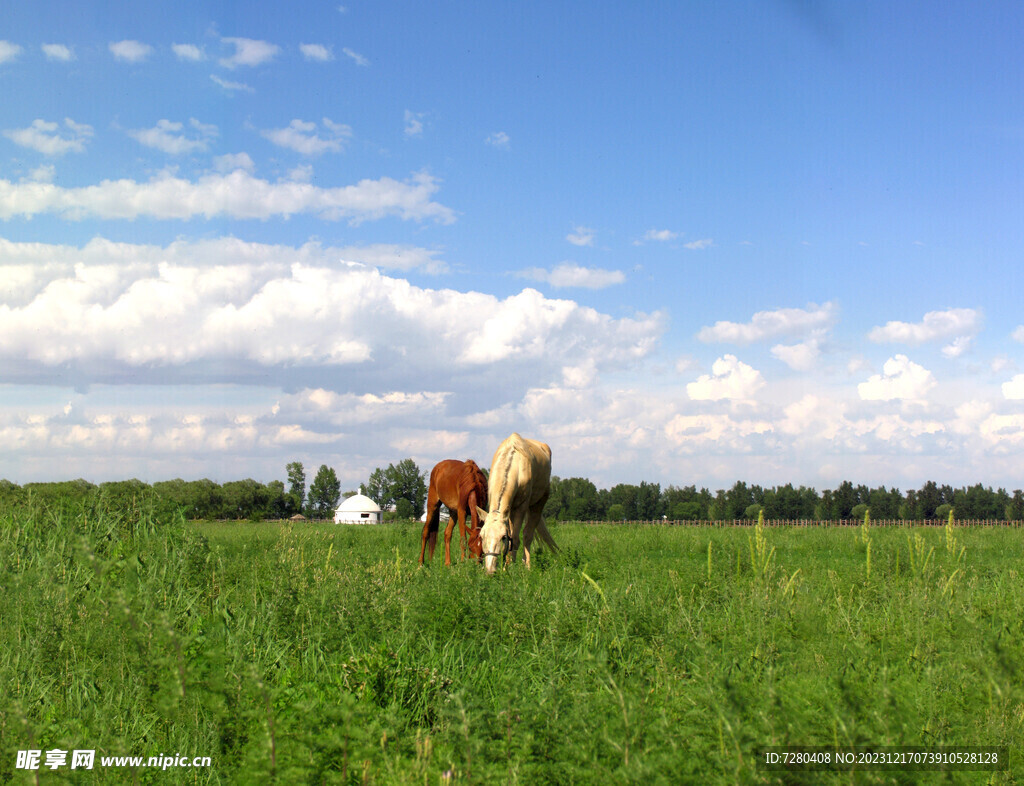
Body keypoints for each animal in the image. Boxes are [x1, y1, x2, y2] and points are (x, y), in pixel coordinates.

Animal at [473, 433, 557, 573]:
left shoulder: (520, 508)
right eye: (482, 536)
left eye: (502, 537)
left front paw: (508, 568)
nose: (490, 570)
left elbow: (515, 539)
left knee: (528, 535)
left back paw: (527, 565)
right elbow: (511, 538)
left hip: (538, 504)